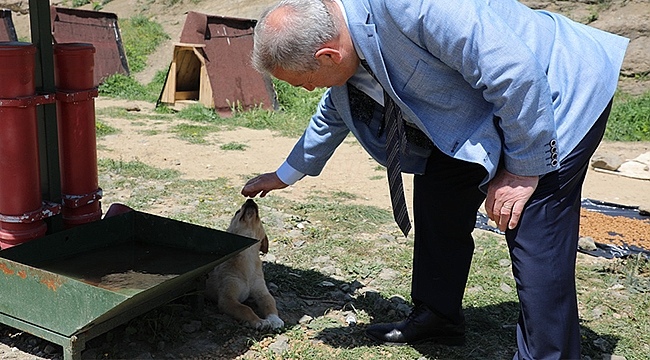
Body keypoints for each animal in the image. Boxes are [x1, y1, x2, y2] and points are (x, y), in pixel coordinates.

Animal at [204, 198, 282, 330]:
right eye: (237, 212)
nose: (250, 200)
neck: (248, 256)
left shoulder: (262, 292)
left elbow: (270, 303)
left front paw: (275, 319)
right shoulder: (227, 299)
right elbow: (245, 309)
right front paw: (258, 321)